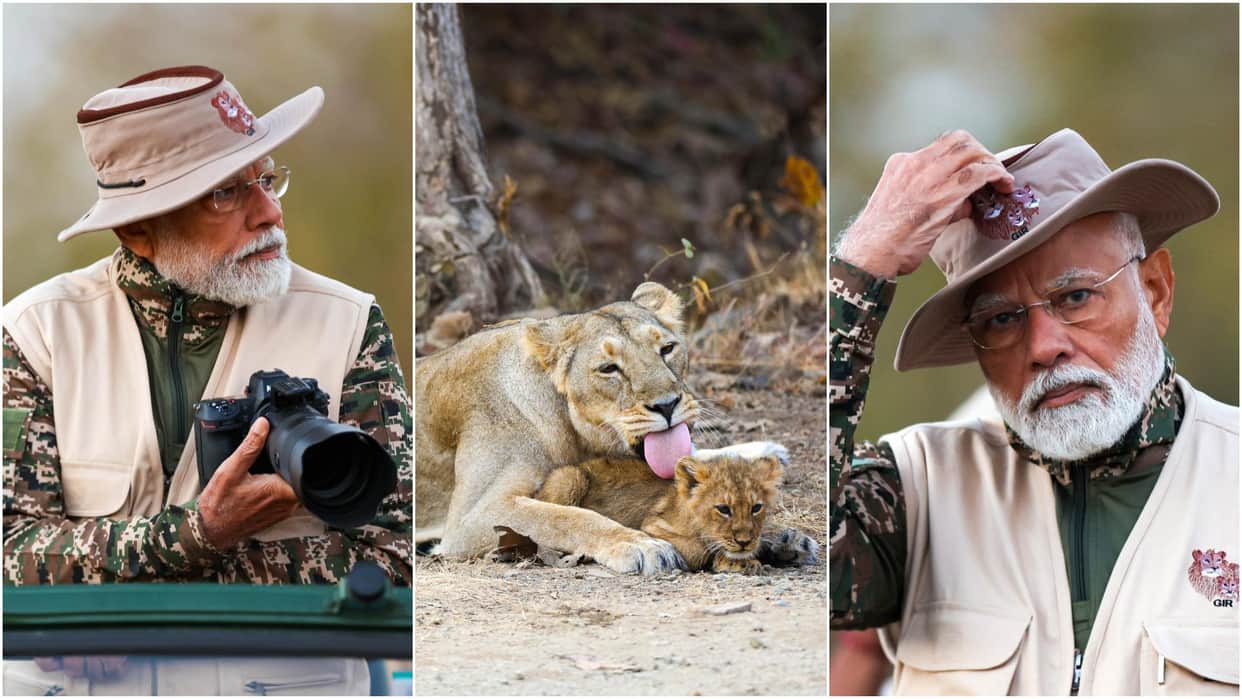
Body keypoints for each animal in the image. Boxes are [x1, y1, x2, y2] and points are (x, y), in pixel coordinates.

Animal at [415, 282, 788, 574]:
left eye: (667, 348)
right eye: (609, 369)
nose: (667, 405)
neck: (571, 428)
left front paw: (759, 455)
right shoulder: (468, 522)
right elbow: (563, 517)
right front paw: (640, 545)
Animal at [535, 452, 820, 574]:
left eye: (756, 508)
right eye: (723, 509)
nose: (744, 541)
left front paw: (787, 545)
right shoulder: (651, 526)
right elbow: (695, 549)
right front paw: (734, 561)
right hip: (569, 478)